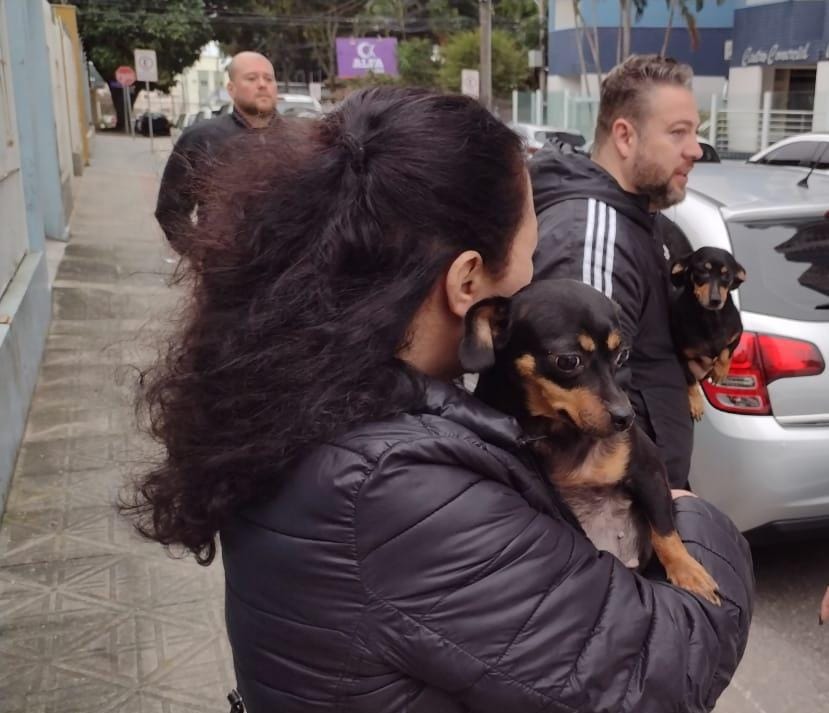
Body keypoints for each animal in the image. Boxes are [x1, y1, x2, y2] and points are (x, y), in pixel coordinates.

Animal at [462, 280, 720, 604]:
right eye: (568, 361)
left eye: (622, 356)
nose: (626, 417)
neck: (561, 434)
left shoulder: (648, 472)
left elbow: (664, 530)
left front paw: (688, 572)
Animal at [668, 248, 748, 420]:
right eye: (702, 271)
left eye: (726, 275)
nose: (715, 300)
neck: (710, 319)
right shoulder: (681, 356)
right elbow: (690, 380)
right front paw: (696, 404)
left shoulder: (737, 334)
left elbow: (726, 353)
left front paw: (719, 373)